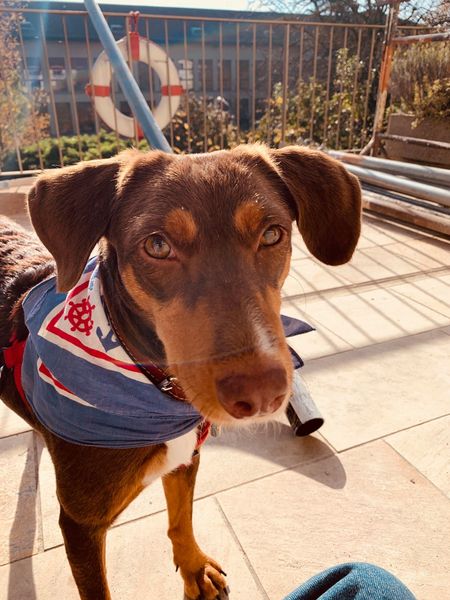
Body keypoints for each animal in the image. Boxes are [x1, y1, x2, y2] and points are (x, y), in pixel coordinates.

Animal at [0, 144, 361, 600]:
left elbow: (181, 519)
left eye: (272, 234)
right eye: (157, 245)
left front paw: (194, 569)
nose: (262, 394)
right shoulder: (81, 524)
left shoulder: (186, 457)